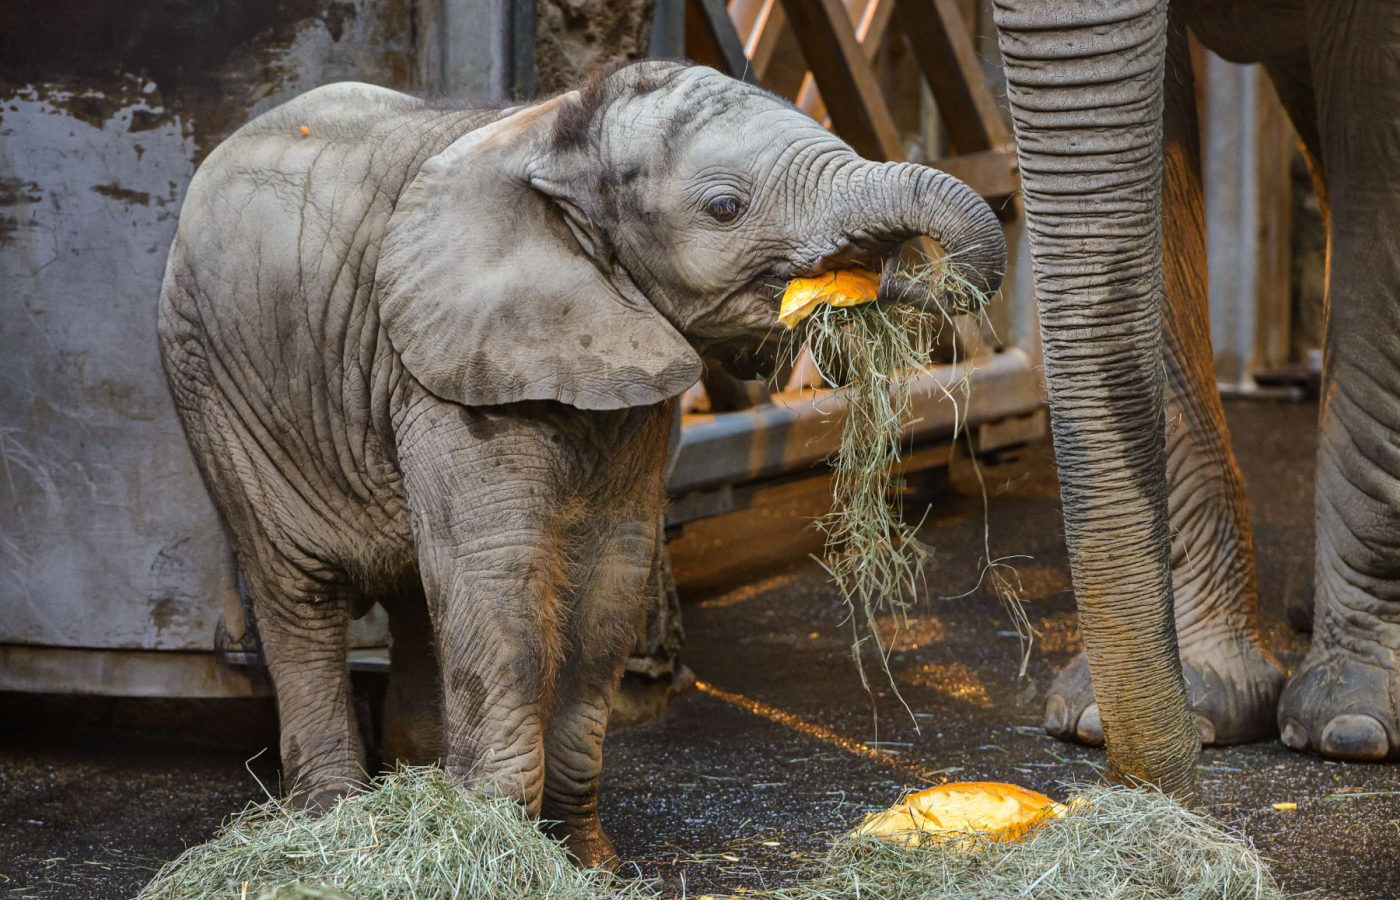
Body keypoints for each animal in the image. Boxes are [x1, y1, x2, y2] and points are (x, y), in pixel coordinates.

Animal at [158, 61, 1008, 867]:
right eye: (724, 208)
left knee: (418, 600)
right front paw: (495, 849)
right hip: (213, 387)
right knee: (301, 596)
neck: (554, 140)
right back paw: (334, 817)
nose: (904, 276)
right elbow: (499, 573)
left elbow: (610, 581)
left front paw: (589, 863)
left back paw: (415, 785)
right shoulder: (447, 368)